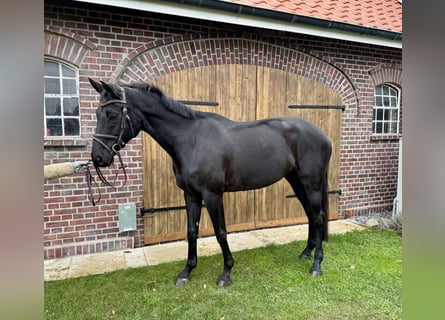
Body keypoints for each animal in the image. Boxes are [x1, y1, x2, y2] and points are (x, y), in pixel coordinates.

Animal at [88, 78, 330, 288]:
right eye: (98, 113)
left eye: (112, 114)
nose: (98, 158)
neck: (191, 139)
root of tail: (322, 135)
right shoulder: (190, 194)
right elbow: (191, 231)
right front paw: (186, 272)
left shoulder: (212, 195)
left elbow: (220, 232)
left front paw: (226, 273)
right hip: (296, 182)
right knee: (310, 214)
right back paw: (306, 253)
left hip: (312, 184)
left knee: (318, 218)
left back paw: (317, 264)